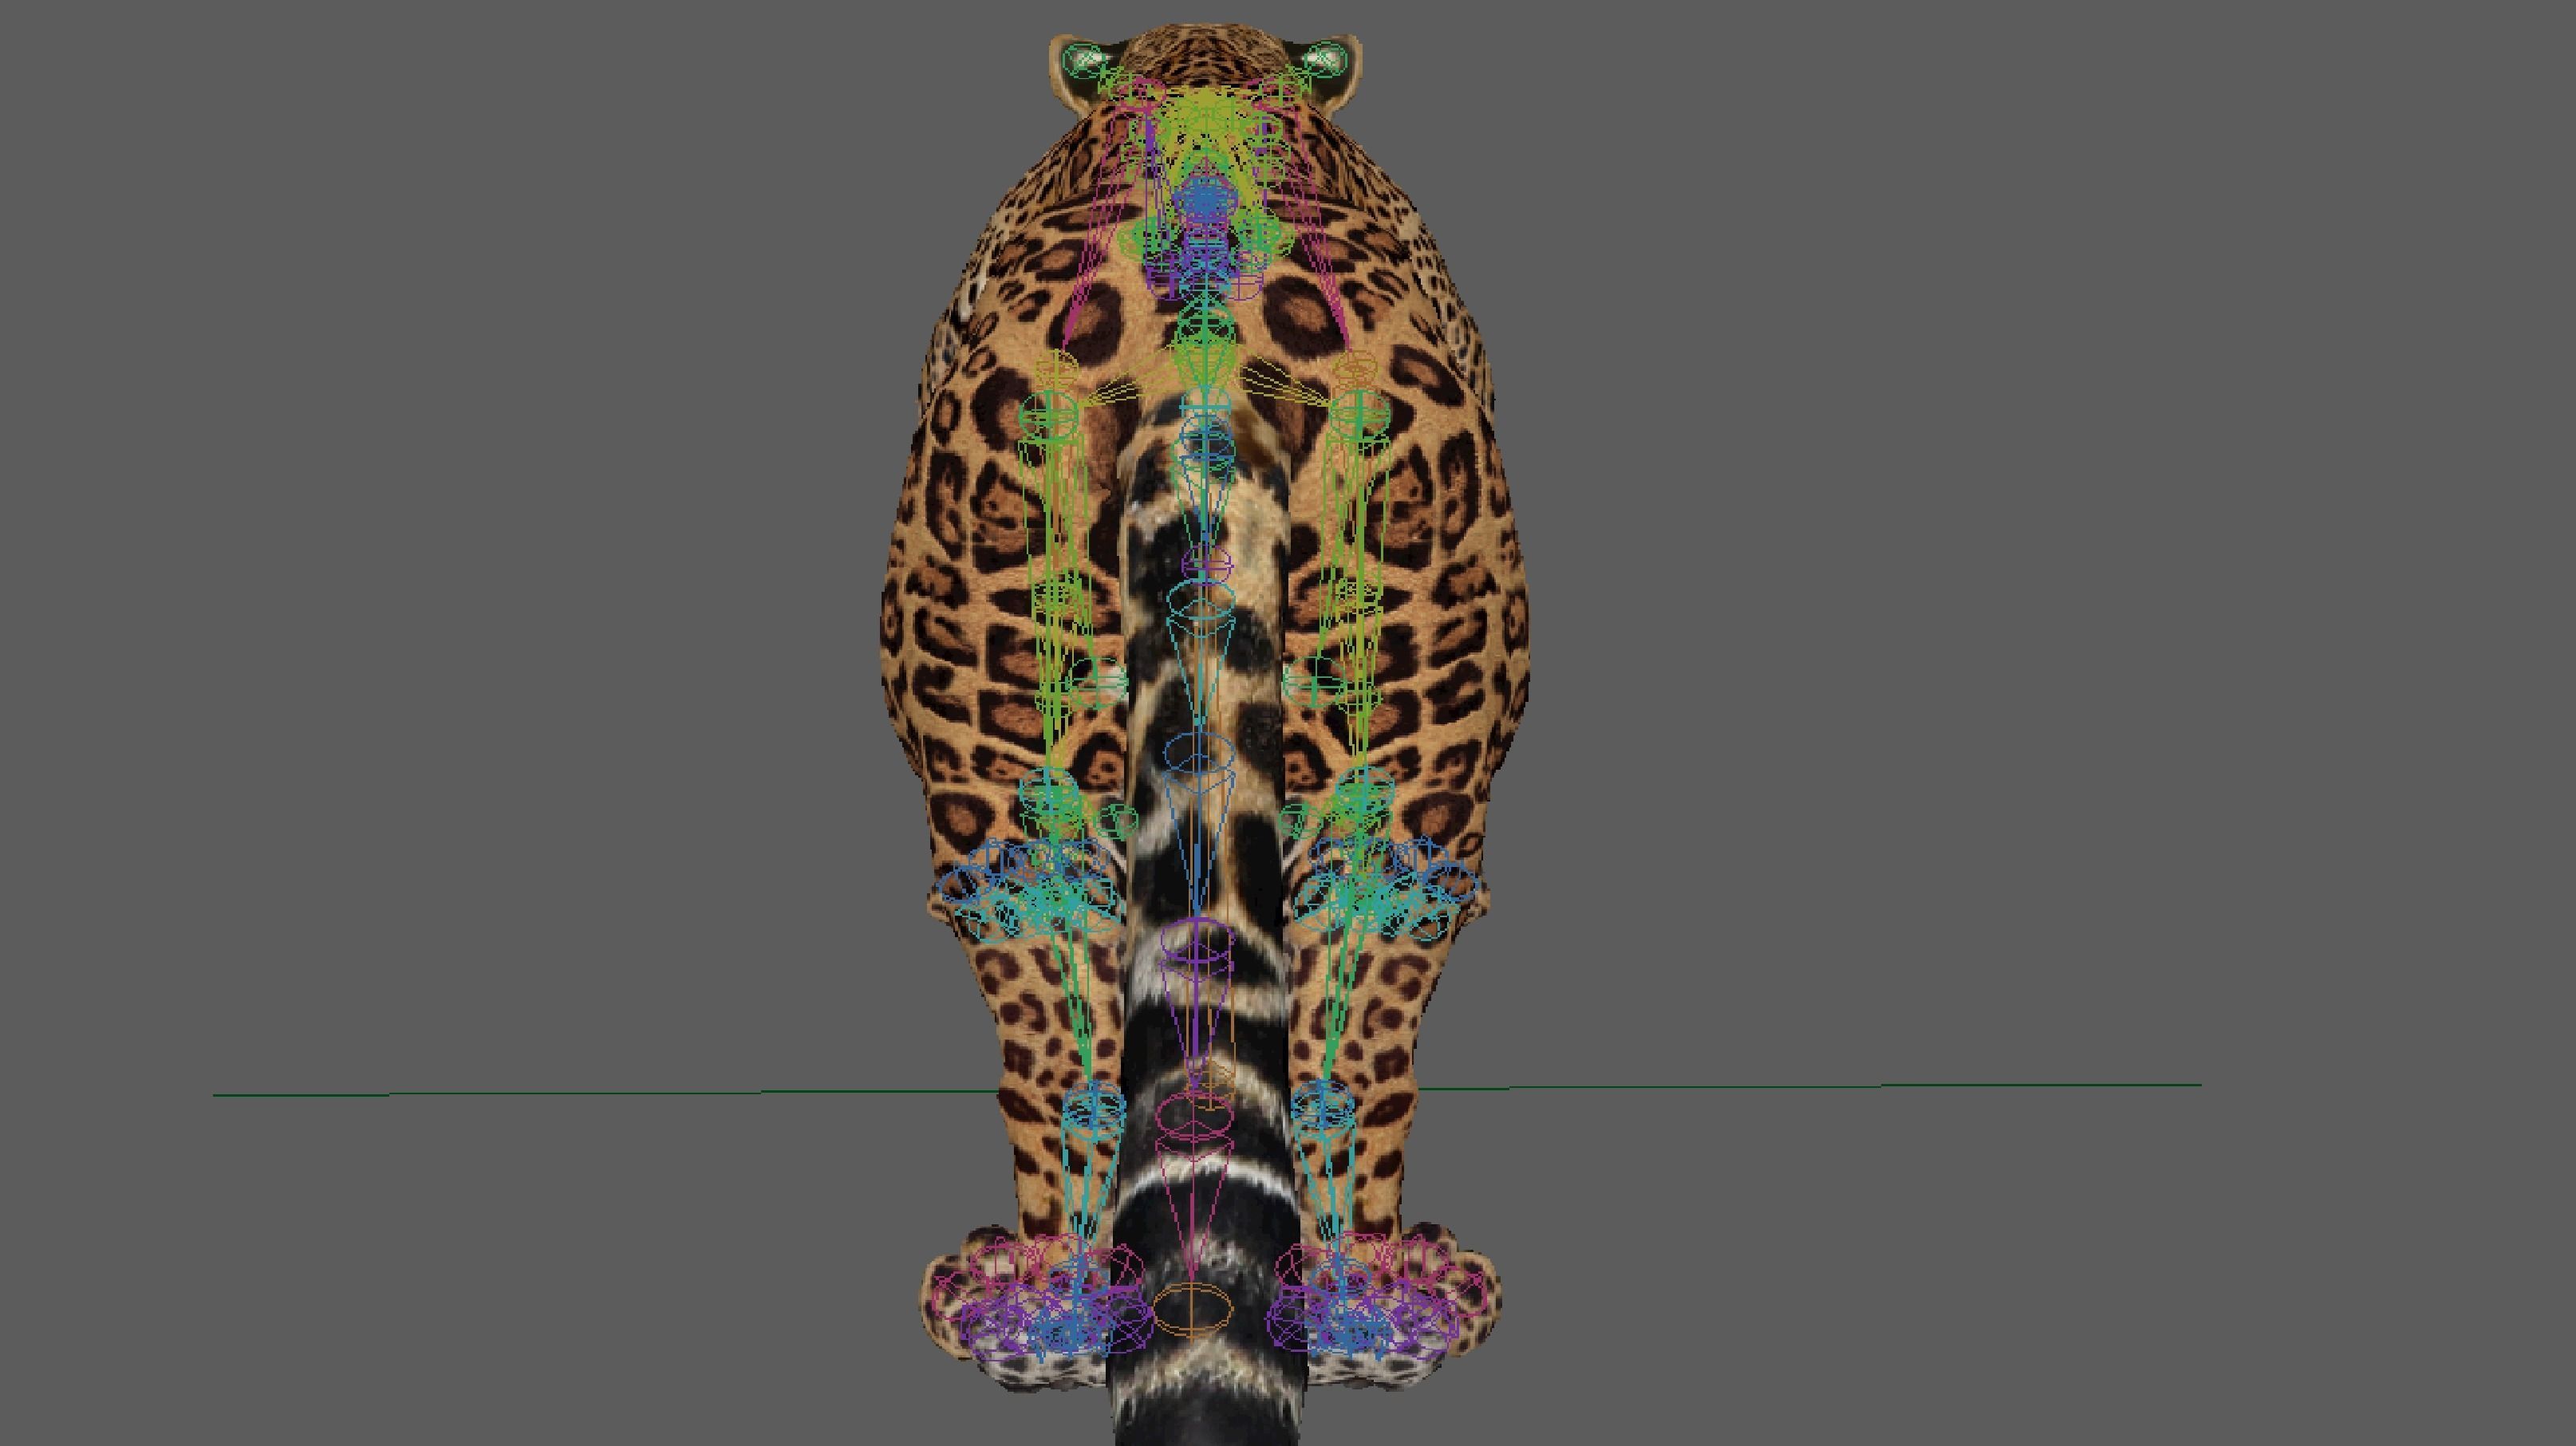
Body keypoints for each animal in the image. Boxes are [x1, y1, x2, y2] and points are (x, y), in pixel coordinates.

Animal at [881, 24, 1531, 1440]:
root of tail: (1206, 369)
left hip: (1010, 772)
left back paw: (1068, 1304)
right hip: (1402, 776)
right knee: (1343, 1014)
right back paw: (1351, 1301)